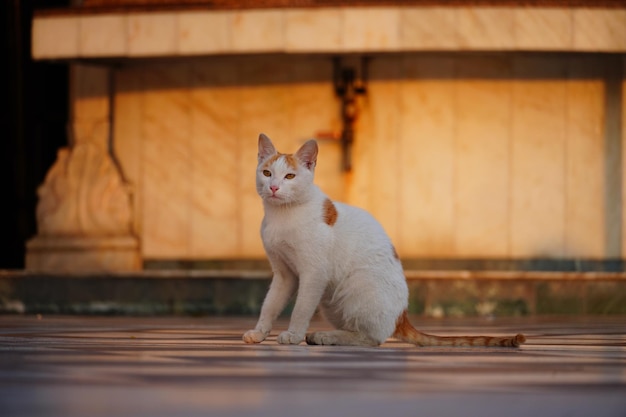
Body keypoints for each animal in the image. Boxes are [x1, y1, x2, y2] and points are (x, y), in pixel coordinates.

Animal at [241, 134, 524, 348]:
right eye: (267, 173)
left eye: (289, 177)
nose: (274, 187)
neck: (281, 216)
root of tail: (402, 316)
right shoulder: (284, 274)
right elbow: (270, 305)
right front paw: (260, 332)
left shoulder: (314, 273)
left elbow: (301, 308)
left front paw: (293, 335)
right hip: (331, 301)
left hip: (354, 285)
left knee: (372, 338)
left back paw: (324, 336)